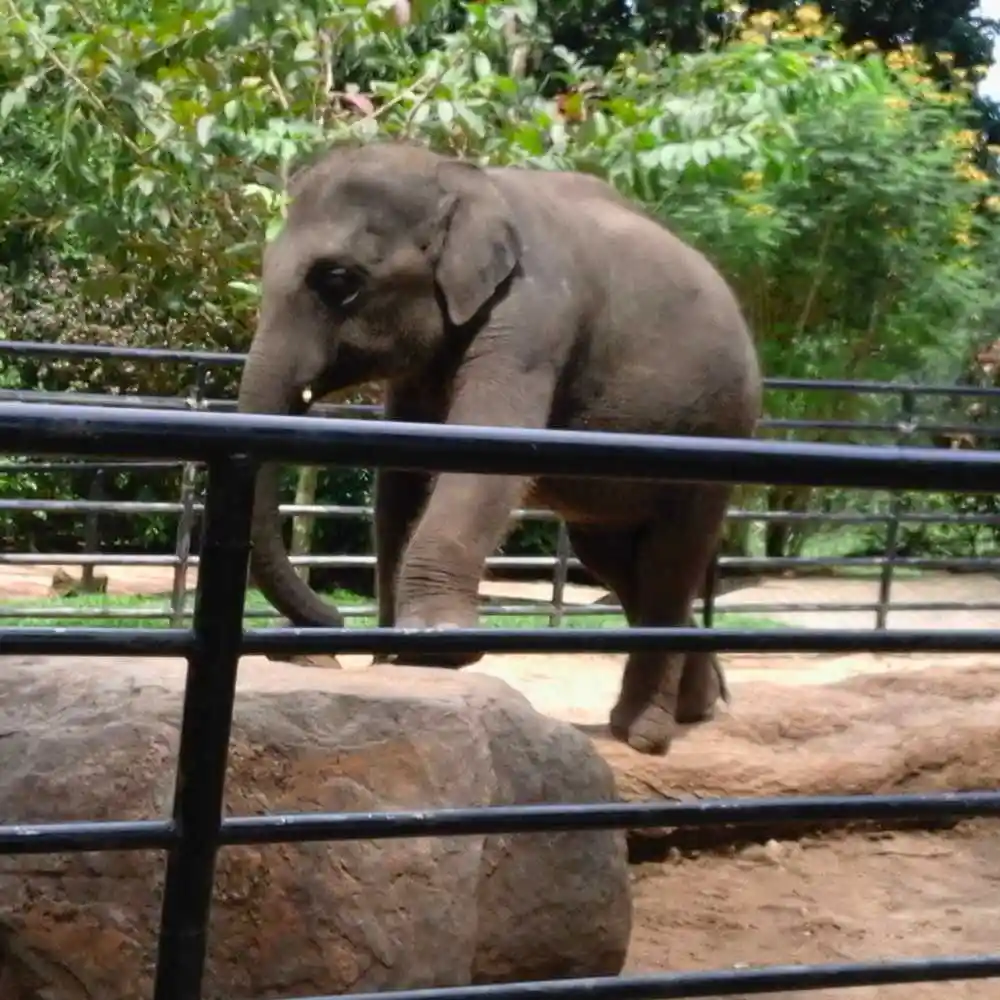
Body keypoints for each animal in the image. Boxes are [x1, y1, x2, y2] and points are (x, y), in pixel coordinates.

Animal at [236, 139, 762, 756]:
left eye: (339, 280)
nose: (330, 623)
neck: (460, 181)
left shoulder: (531, 315)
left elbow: (483, 451)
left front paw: (436, 647)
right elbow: (402, 476)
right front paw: (394, 659)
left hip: (718, 428)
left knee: (669, 559)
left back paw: (642, 736)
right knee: (616, 560)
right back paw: (699, 708)